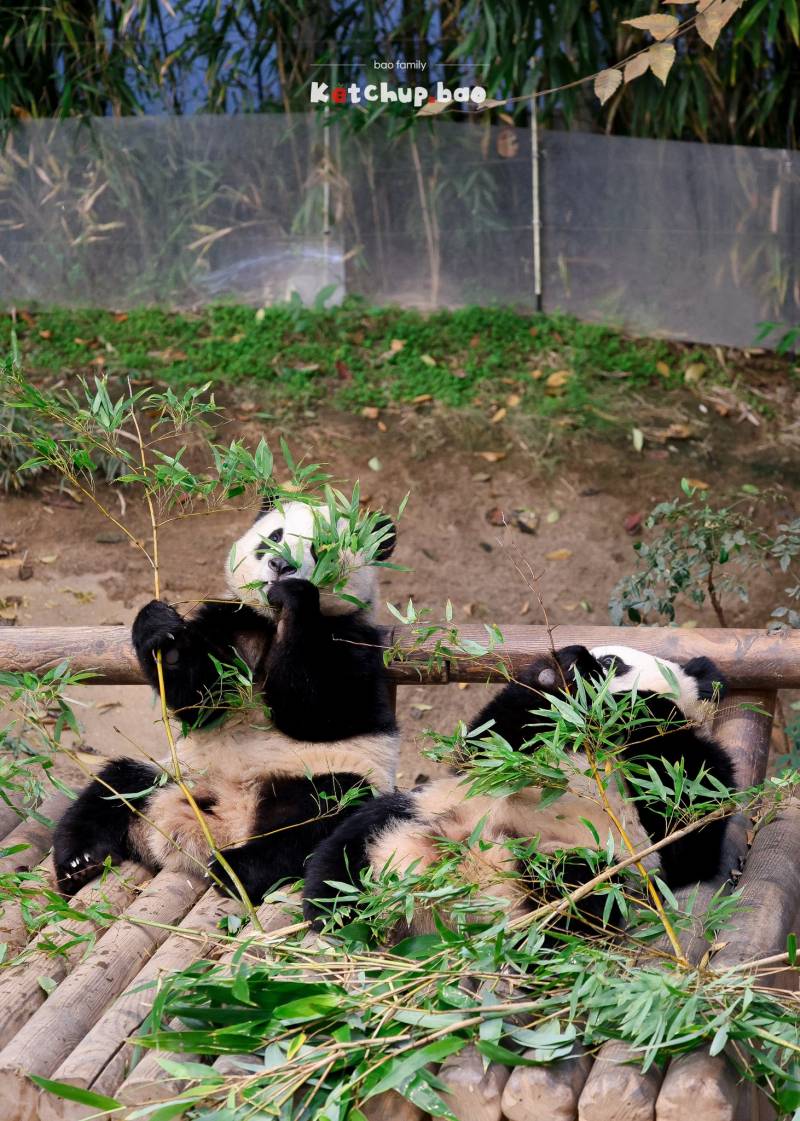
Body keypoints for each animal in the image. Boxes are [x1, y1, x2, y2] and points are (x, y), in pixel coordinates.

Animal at [52, 499, 396, 901]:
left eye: (321, 547)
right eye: (274, 536)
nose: (280, 565)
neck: (269, 620)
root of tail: (226, 825)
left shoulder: (355, 641)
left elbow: (321, 709)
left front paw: (295, 595)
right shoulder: (230, 620)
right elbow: (200, 700)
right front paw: (163, 634)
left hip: (324, 778)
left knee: (322, 815)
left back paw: (236, 869)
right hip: (172, 774)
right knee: (113, 788)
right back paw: (79, 862)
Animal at [302, 645, 730, 932]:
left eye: (613, 662)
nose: (590, 662)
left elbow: (688, 829)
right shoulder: (513, 750)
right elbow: (486, 743)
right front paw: (556, 671)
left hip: (583, 863)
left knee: (573, 899)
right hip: (426, 809)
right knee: (353, 843)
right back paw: (333, 911)